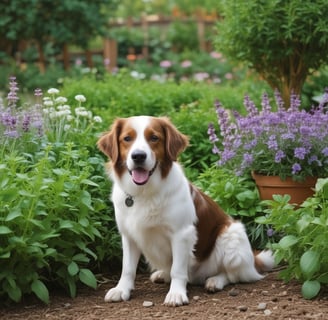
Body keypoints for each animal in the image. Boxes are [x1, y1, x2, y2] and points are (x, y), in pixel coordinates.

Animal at [97, 115, 274, 308]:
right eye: (127, 138)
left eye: (154, 138)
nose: (138, 156)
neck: (144, 193)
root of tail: (253, 261)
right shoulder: (128, 235)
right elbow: (127, 268)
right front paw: (121, 290)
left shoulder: (181, 234)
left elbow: (178, 270)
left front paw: (176, 294)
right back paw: (162, 274)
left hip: (231, 236)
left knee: (233, 275)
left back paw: (215, 281)